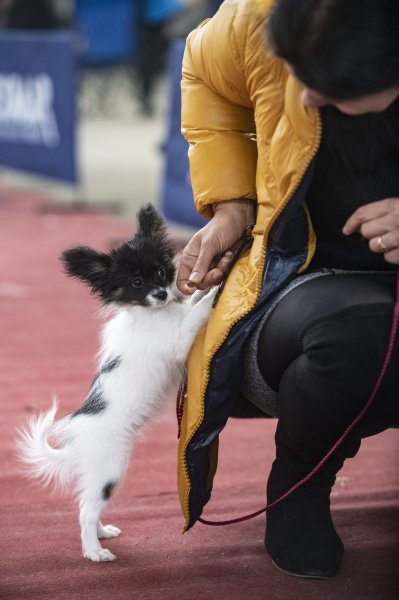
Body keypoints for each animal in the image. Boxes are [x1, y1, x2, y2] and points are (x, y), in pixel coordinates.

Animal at [18, 205, 219, 564]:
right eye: (136, 283)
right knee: (86, 509)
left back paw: (101, 533)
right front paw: (213, 290)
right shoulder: (179, 341)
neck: (157, 312)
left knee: (87, 504)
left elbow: (191, 303)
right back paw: (94, 552)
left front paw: (200, 286)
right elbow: (196, 314)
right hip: (109, 468)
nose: (162, 293)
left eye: (160, 271)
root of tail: (76, 439)